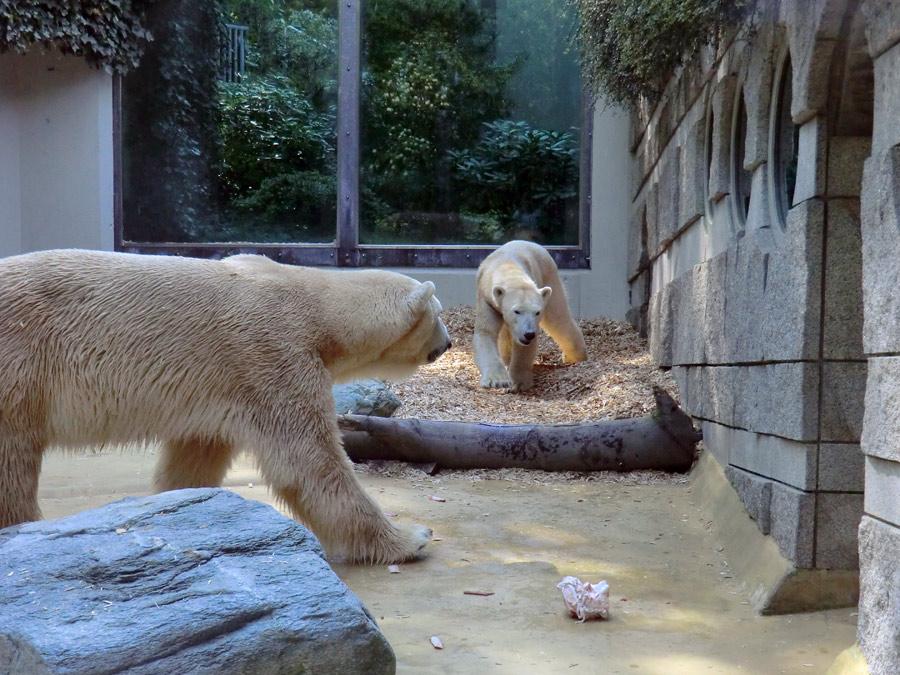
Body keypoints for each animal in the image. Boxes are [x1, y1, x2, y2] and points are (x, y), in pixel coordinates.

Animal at [0, 248, 450, 564]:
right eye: (439, 313)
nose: (447, 343)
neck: (313, 304)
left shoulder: (221, 386)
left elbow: (194, 457)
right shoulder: (272, 355)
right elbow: (309, 462)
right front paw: (412, 537)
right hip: (21, 362)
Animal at [472, 240, 592, 394]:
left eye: (537, 312)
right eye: (516, 311)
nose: (529, 334)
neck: (507, 266)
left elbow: (524, 348)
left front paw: (517, 383)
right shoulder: (487, 300)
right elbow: (486, 332)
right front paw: (497, 381)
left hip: (549, 277)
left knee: (558, 318)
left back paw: (575, 356)